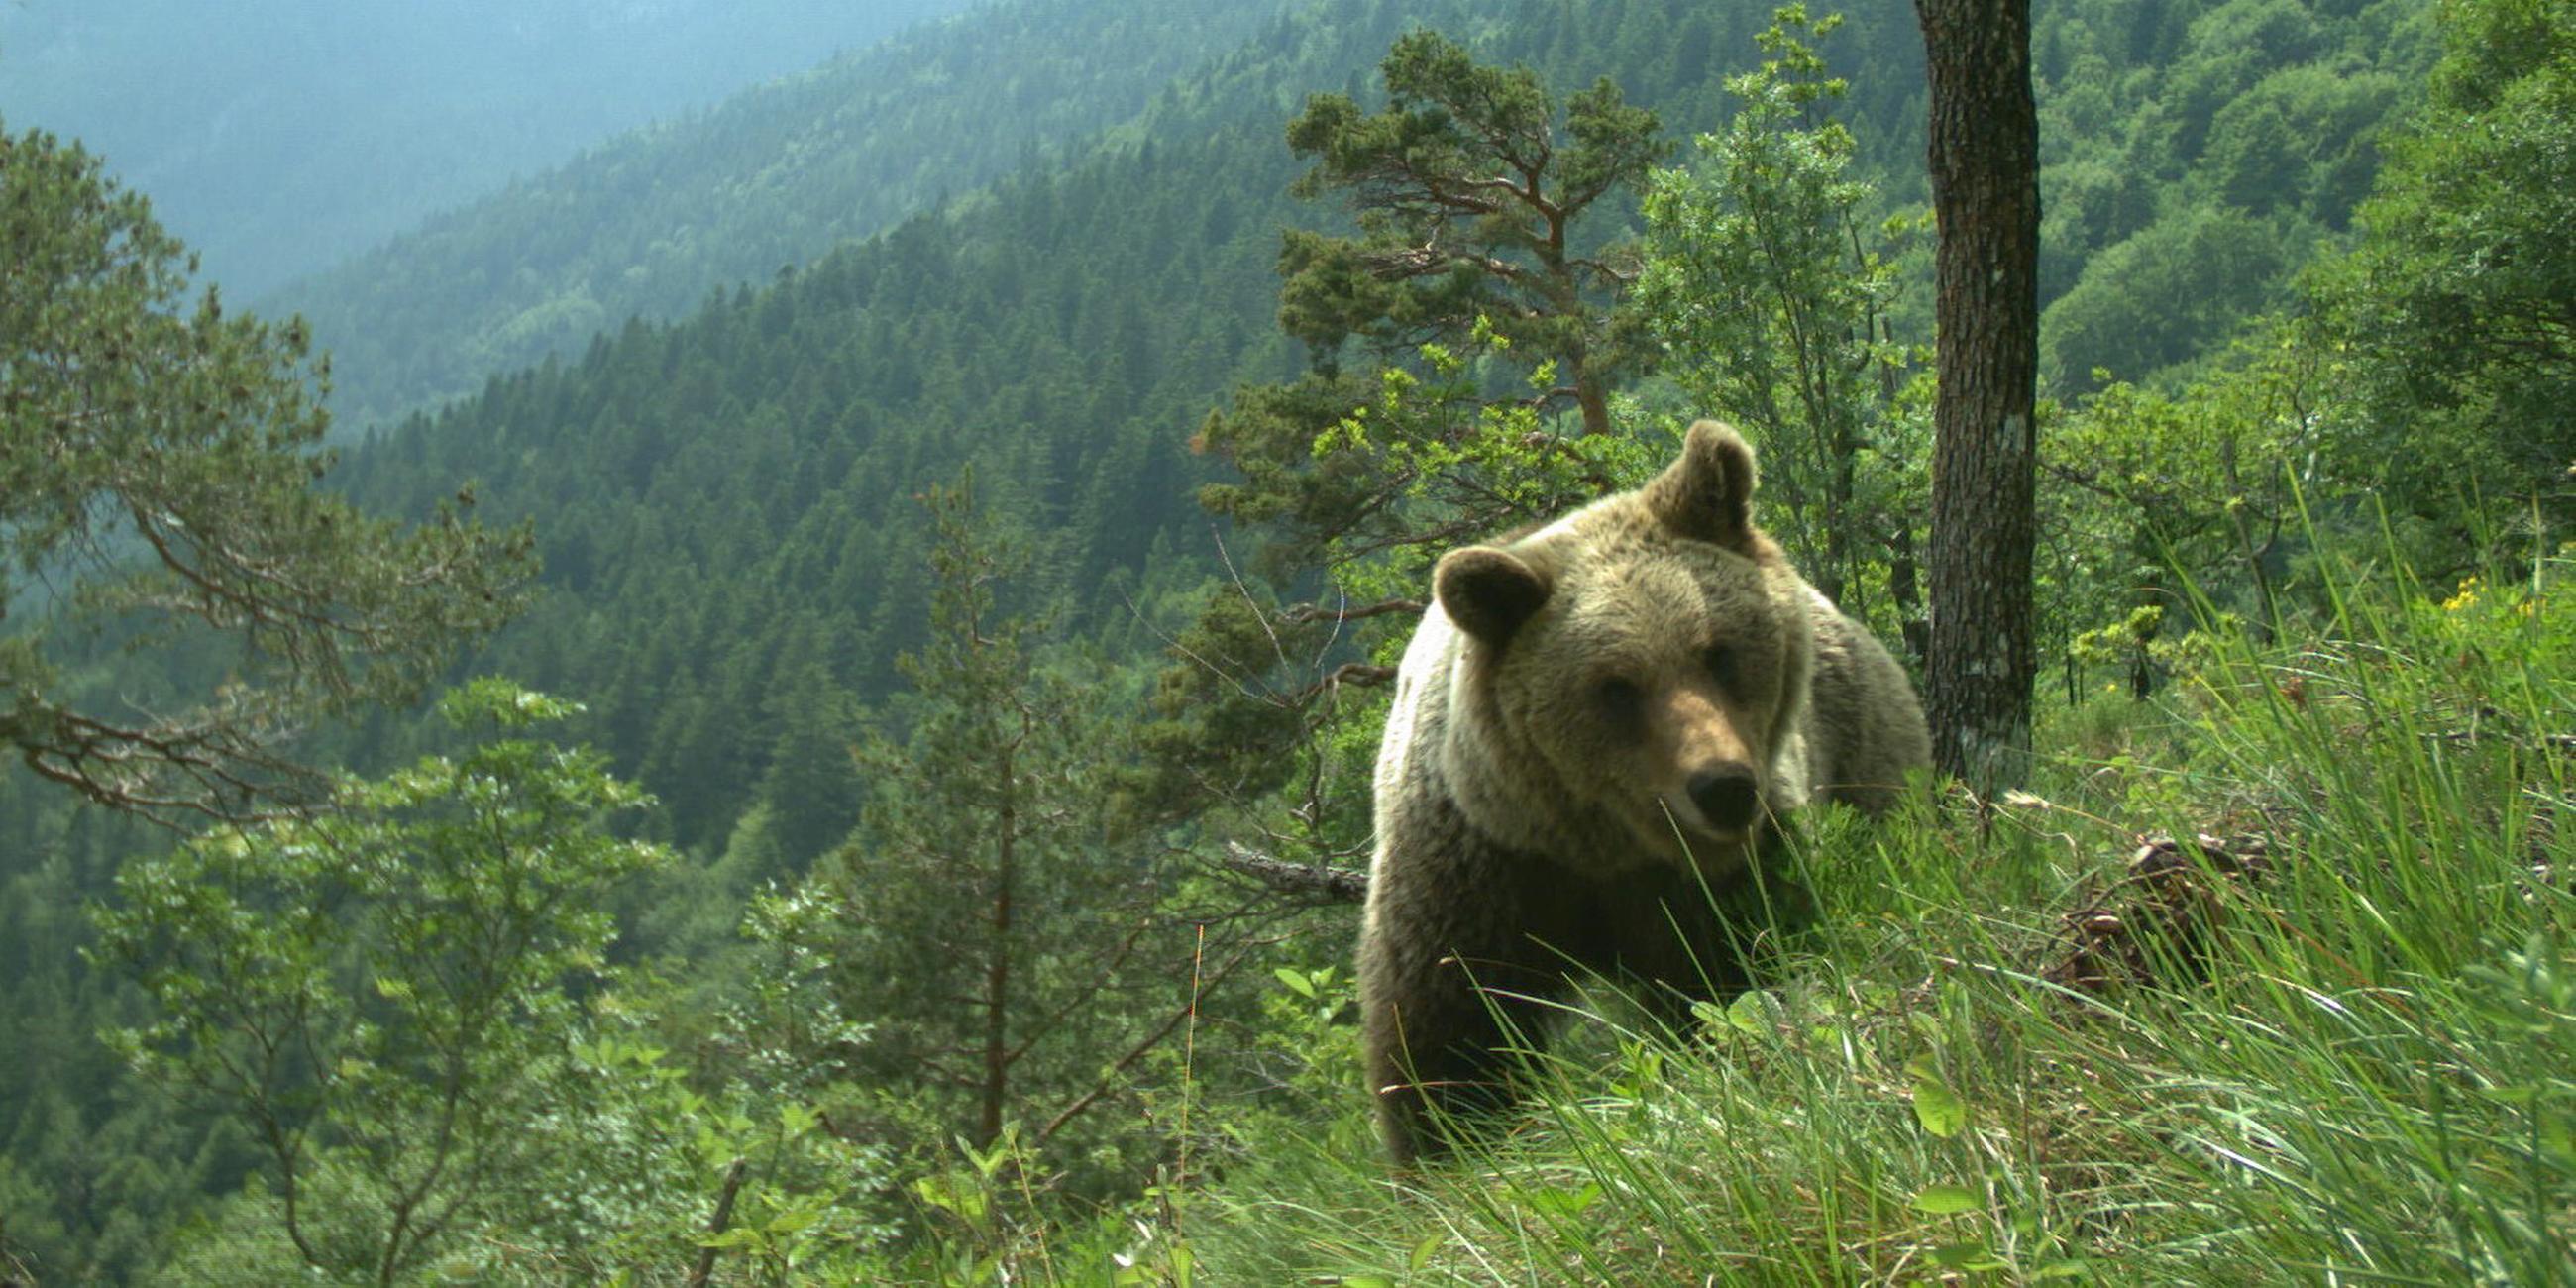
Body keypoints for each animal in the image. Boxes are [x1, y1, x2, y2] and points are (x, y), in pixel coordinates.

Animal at [1359, 417, 1926, 1164]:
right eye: (1616, 687)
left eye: (1717, 651)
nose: (1724, 788)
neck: (1606, 845)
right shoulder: (1483, 867)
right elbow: (1450, 1027)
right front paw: (1453, 1147)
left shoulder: (1724, 875)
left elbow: (1737, 976)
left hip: (1865, 744)